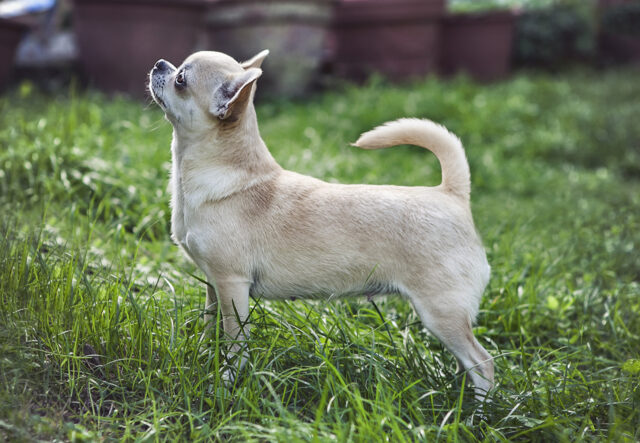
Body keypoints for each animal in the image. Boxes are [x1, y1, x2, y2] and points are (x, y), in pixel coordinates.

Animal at [151, 50, 496, 400]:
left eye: (181, 80)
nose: (159, 64)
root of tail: (451, 194)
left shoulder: (232, 285)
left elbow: (236, 344)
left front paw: (225, 383)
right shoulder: (214, 285)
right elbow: (211, 325)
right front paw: (204, 354)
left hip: (440, 312)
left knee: (482, 364)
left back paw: (477, 409)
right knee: (466, 364)